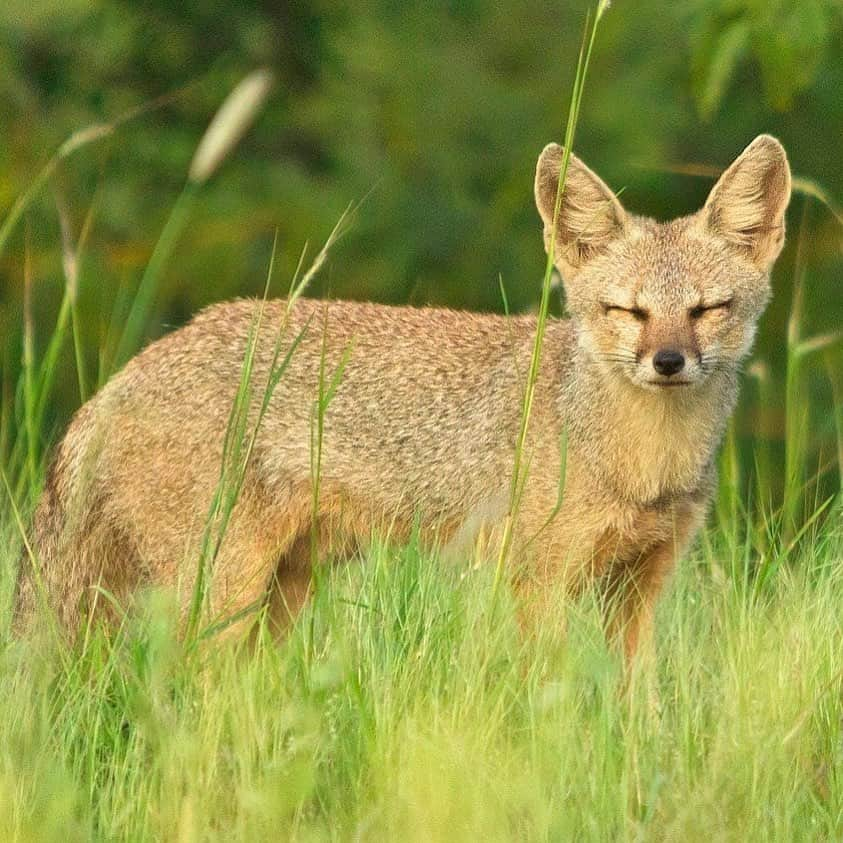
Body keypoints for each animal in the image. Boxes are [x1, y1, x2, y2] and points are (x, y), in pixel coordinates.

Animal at [13, 135, 792, 660]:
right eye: (627, 311)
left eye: (707, 309)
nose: (668, 361)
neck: (640, 466)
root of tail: (121, 377)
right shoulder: (534, 584)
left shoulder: (638, 591)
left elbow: (636, 714)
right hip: (221, 594)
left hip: (277, 599)